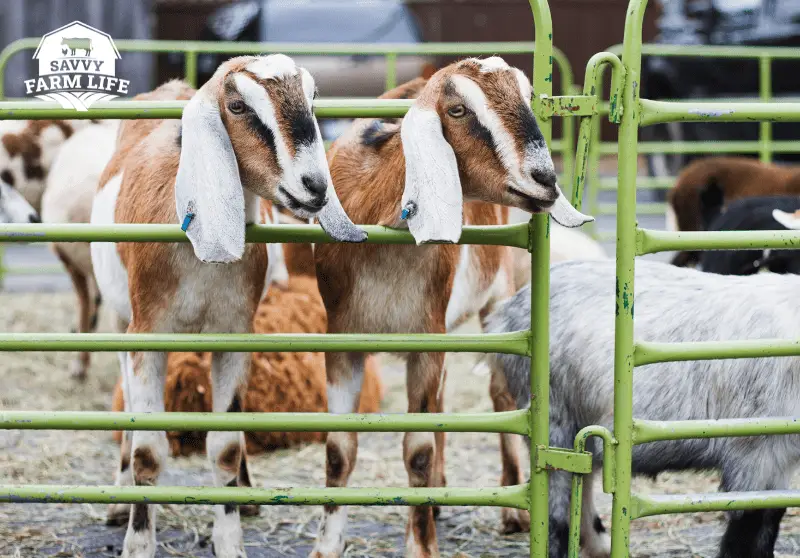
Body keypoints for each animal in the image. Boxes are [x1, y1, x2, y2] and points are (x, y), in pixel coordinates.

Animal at [89, 53, 360, 558]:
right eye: (237, 106)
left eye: (312, 98)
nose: (314, 186)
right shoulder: (147, 334)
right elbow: (148, 449)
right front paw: (138, 541)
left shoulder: (233, 334)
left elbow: (226, 447)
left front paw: (230, 538)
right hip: (120, 320)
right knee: (129, 409)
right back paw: (117, 499)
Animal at [312, 58, 592, 558]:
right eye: (457, 110)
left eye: (527, 96)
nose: (545, 178)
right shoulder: (343, 340)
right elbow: (339, 450)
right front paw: (326, 546)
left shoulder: (427, 336)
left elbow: (417, 451)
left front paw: (421, 546)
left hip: (496, 301)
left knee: (500, 397)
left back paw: (513, 511)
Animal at [484, 262, 800, 558]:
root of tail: (504, 314)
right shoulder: (755, 454)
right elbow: (748, 533)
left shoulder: (779, 460)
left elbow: (769, 520)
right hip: (553, 422)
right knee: (556, 507)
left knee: (582, 484)